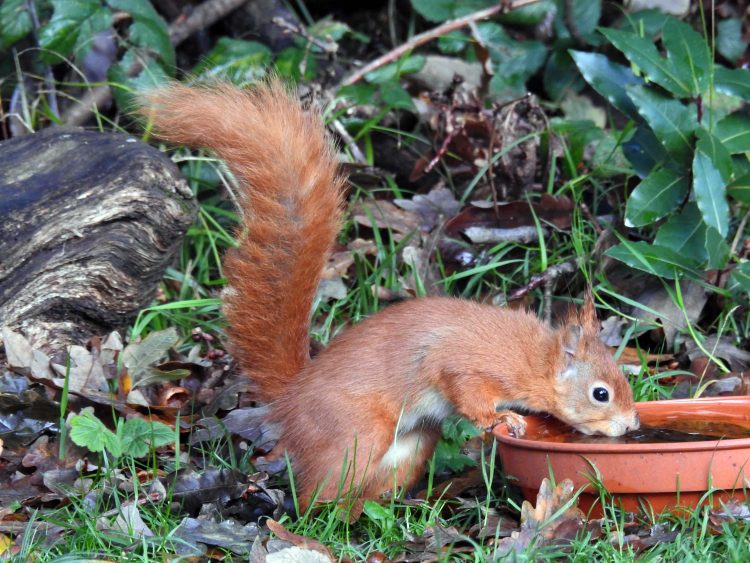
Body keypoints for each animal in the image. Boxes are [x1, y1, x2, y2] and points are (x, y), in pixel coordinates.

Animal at [142, 79, 640, 509]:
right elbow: (467, 393)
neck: (534, 358)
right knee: (315, 494)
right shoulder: (469, 364)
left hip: (411, 445)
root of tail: (293, 397)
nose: (633, 423)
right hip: (356, 435)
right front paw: (502, 420)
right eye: (601, 393)